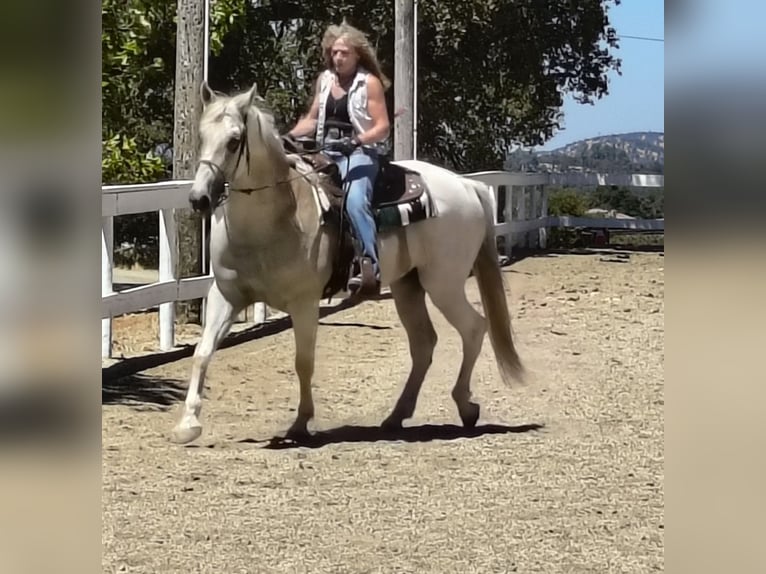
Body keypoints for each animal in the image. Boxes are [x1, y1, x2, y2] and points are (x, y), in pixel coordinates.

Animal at [170, 81, 525, 444]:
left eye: (234, 140)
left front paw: (301, 423)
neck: (274, 219)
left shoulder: (304, 303)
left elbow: (304, 362)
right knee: (424, 343)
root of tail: (466, 184)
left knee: (474, 328)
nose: (199, 199)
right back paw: (397, 415)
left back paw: (465, 405)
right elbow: (202, 353)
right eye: (201, 135)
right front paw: (188, 424)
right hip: (408, 286)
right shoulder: (224, 295)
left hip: (444, 284)